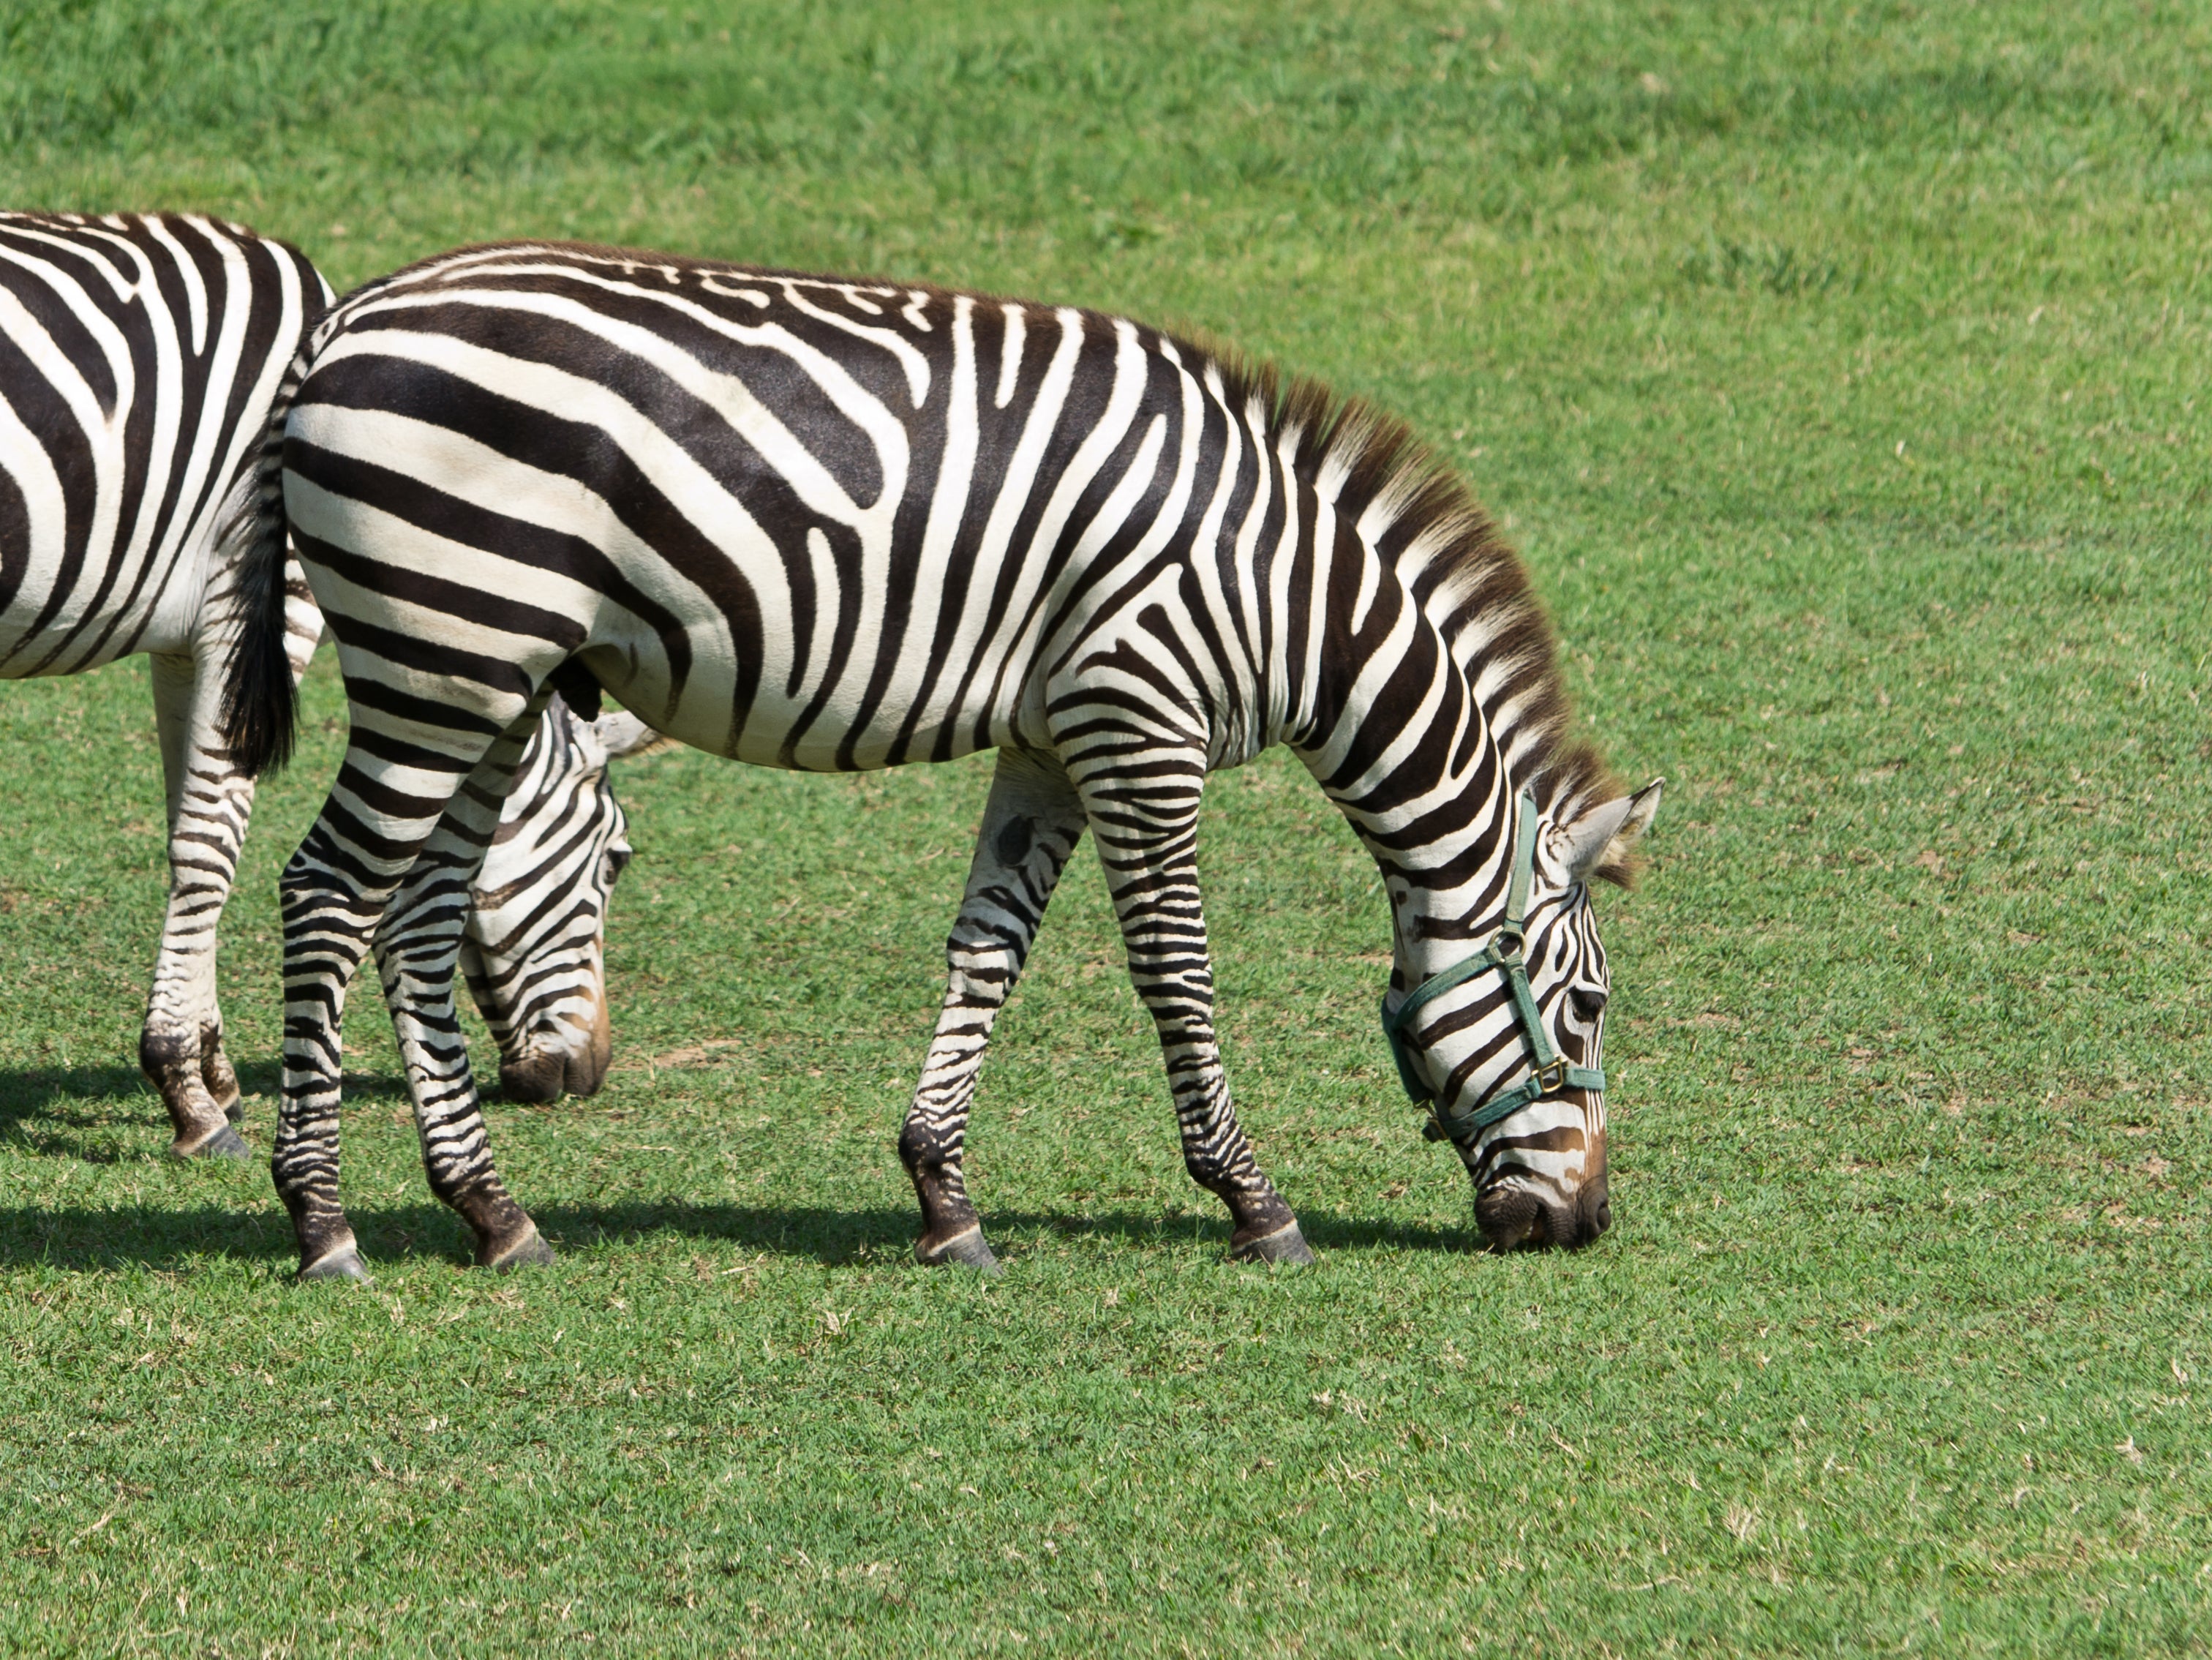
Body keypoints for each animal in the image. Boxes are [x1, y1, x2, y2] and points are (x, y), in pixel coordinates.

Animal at [1, 214, 646, 1160]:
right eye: (615, 858)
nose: (585, 1076)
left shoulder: (189, 639)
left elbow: (187, 829)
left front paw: (213, 1069)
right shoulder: (260, 603)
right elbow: (210, 849)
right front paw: (188, 1095)